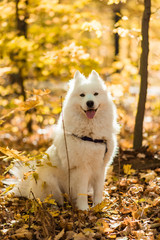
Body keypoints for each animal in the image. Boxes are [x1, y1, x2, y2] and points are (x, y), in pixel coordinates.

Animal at [4, 70, 119, 210]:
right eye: (82, 95)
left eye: (96, 93)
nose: (90, 102)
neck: (91, 135)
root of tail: (27, 187)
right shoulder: (81, 169)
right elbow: (81, 192)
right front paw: (84, 209)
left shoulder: (101, 167)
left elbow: (98, 190)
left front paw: (98, 206)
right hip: (51, 186)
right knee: (49, 200)